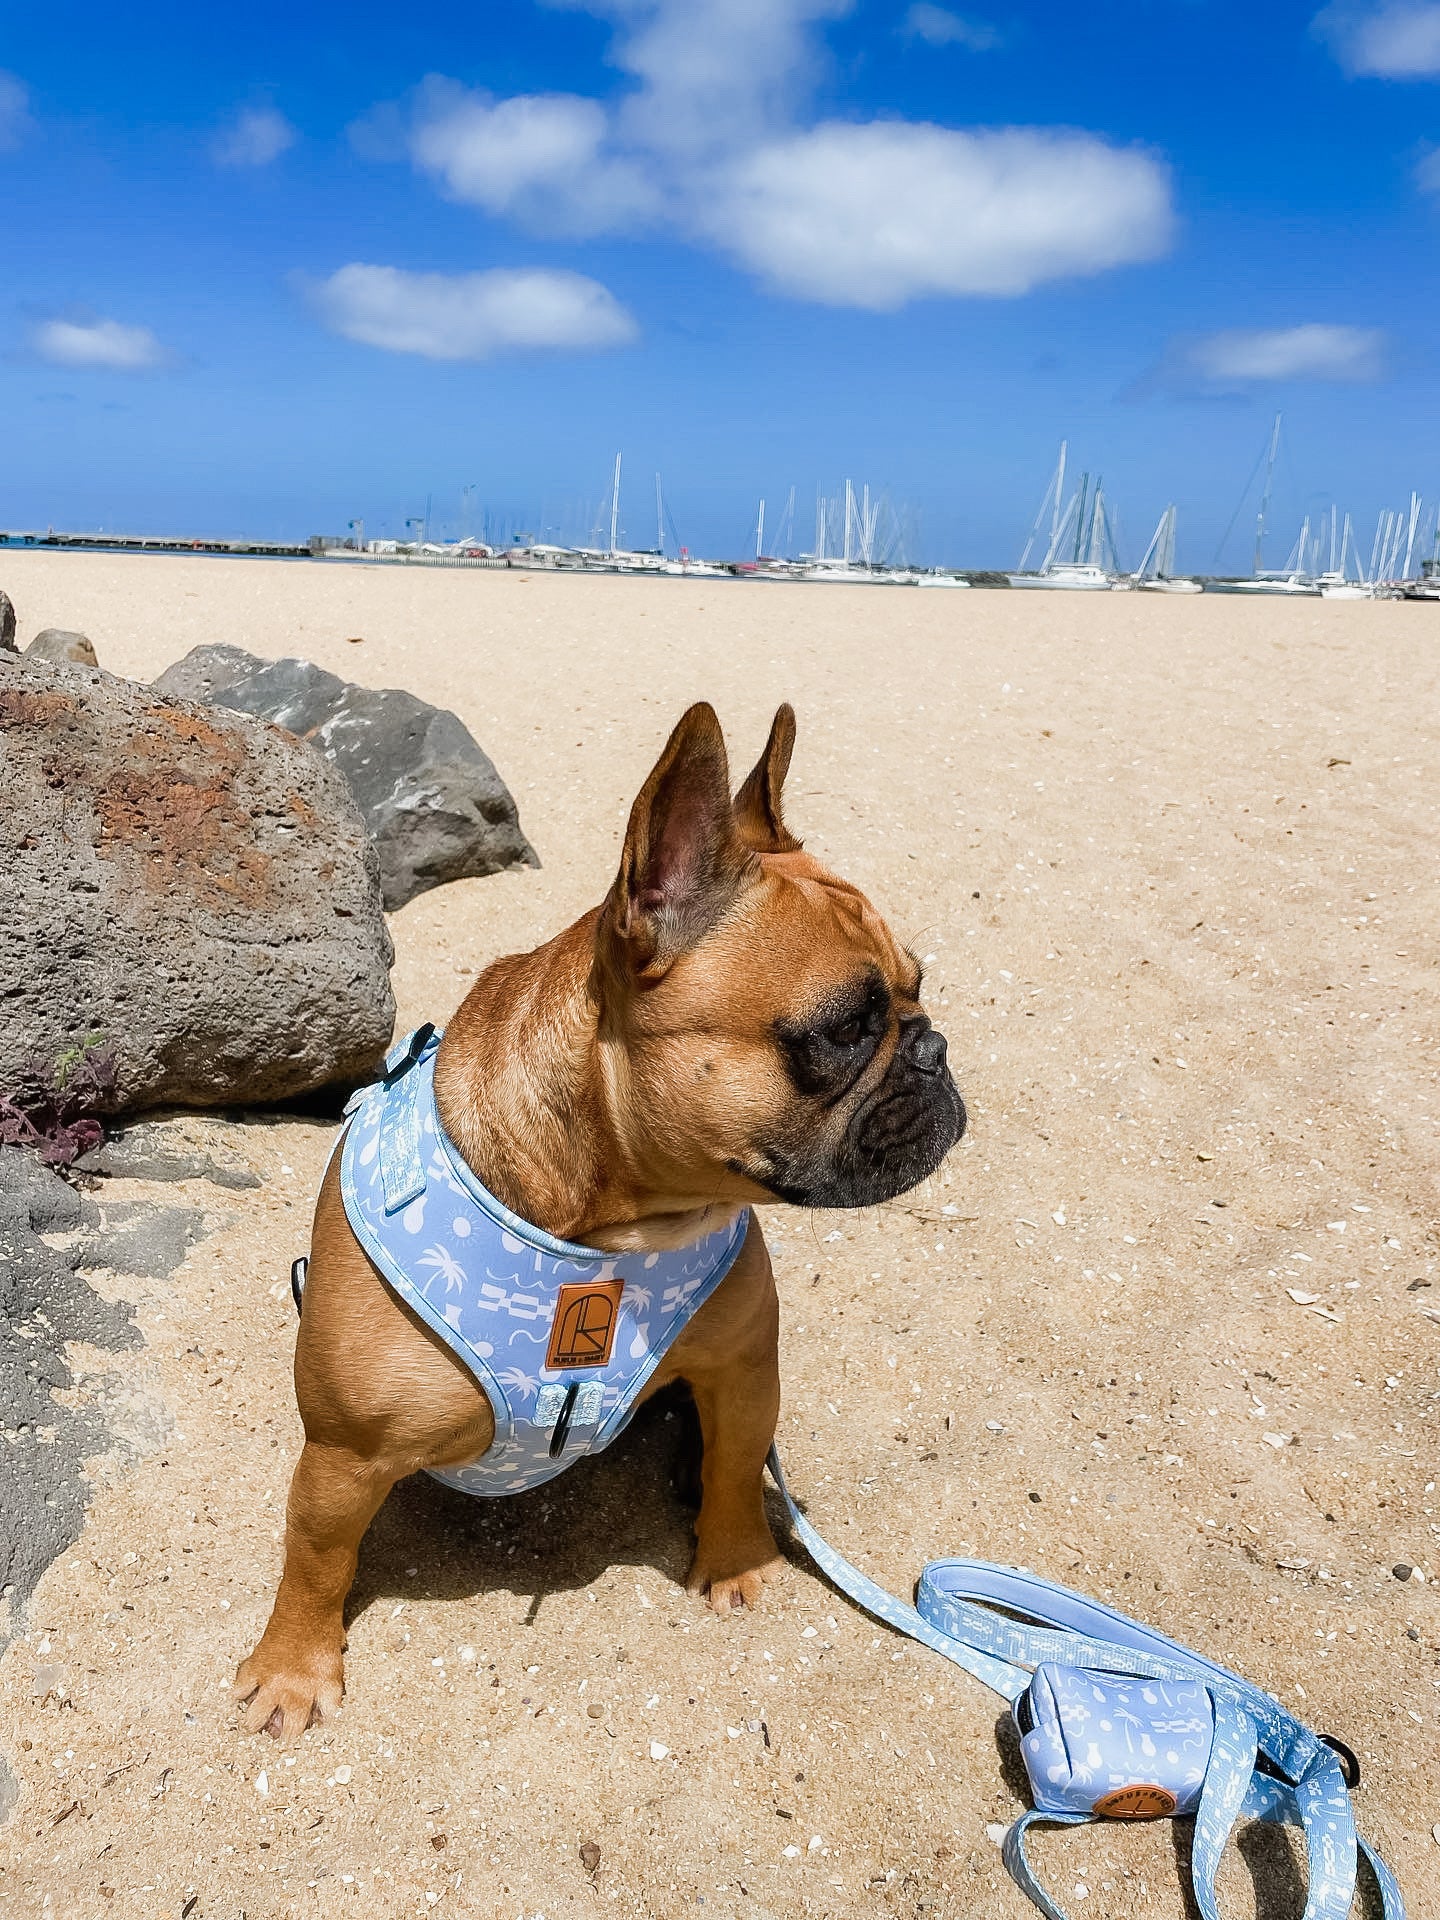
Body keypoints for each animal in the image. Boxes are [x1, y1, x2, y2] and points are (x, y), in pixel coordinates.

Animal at [240, 706, 971, 1743]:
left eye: (919, 988)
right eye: (843, 1029)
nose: (935, 1050)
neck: (610, 1231)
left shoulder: (741, 1370)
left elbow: (739, 1462)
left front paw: (734, 1557)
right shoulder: (342, 1456)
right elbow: (315, 1557)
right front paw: (293, 1670)